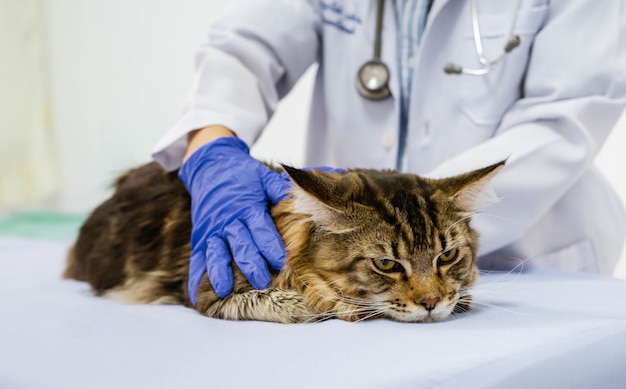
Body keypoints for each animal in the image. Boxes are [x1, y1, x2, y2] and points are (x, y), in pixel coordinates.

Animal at [63, 159, 502, 322]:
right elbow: (278, 300)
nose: (431, 303)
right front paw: (324, 305)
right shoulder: (209, 287)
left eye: (448, 256)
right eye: (387, 264)